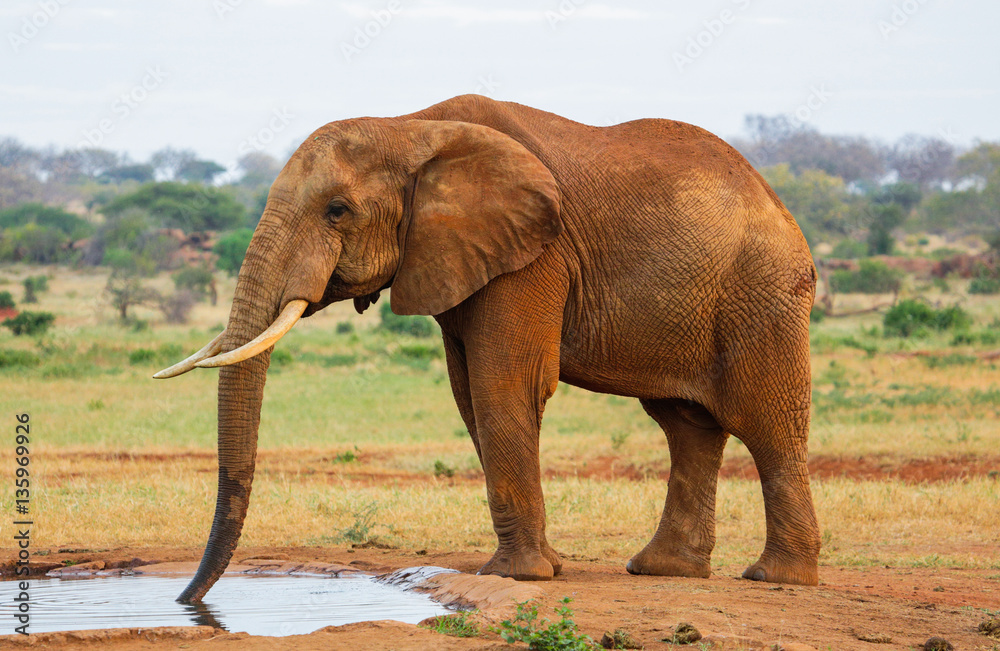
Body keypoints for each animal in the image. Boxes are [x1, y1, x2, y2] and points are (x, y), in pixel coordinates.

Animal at [156, 94, 820, 603]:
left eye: (337, 211)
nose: (187, 601)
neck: (412, 125)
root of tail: (779, 203)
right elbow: (469, 396)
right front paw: (548, 565)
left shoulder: (534, 255)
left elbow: (503, 384)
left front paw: (517, 575)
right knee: (687, 427)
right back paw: (661, 570)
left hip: (763, 294)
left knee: (766, 424)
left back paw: (777, 579)